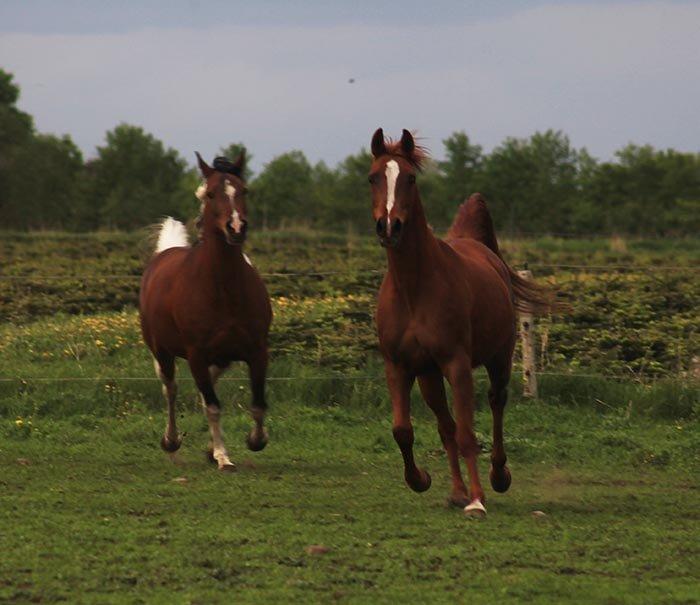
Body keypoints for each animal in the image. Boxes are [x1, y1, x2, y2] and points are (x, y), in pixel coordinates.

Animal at [139, 152, 270, 472]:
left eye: (244, 190)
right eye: (211, 193)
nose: (236, 228)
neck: (223, 291)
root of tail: (164, 253)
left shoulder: (257, 351)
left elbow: (258, 404)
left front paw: (254, 440)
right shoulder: (196, 354)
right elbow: (213, 406)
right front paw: (223, 457)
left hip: (222, 358)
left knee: (206, 386)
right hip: (162, 352)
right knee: (171, 390)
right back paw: (171, 443)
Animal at [366, 127, 556, 516]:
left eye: (409, 178)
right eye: (373, 177)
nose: (389, 226)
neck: (414, 288)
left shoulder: (457, 363)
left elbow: (469, 433)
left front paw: (477, 500)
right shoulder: (400, 365)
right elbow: (404, 430)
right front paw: (421, 480)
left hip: (498, 360)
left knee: (496, 404)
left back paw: (498, 477)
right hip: (429, 376)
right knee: (446, 425)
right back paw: (456, 491)